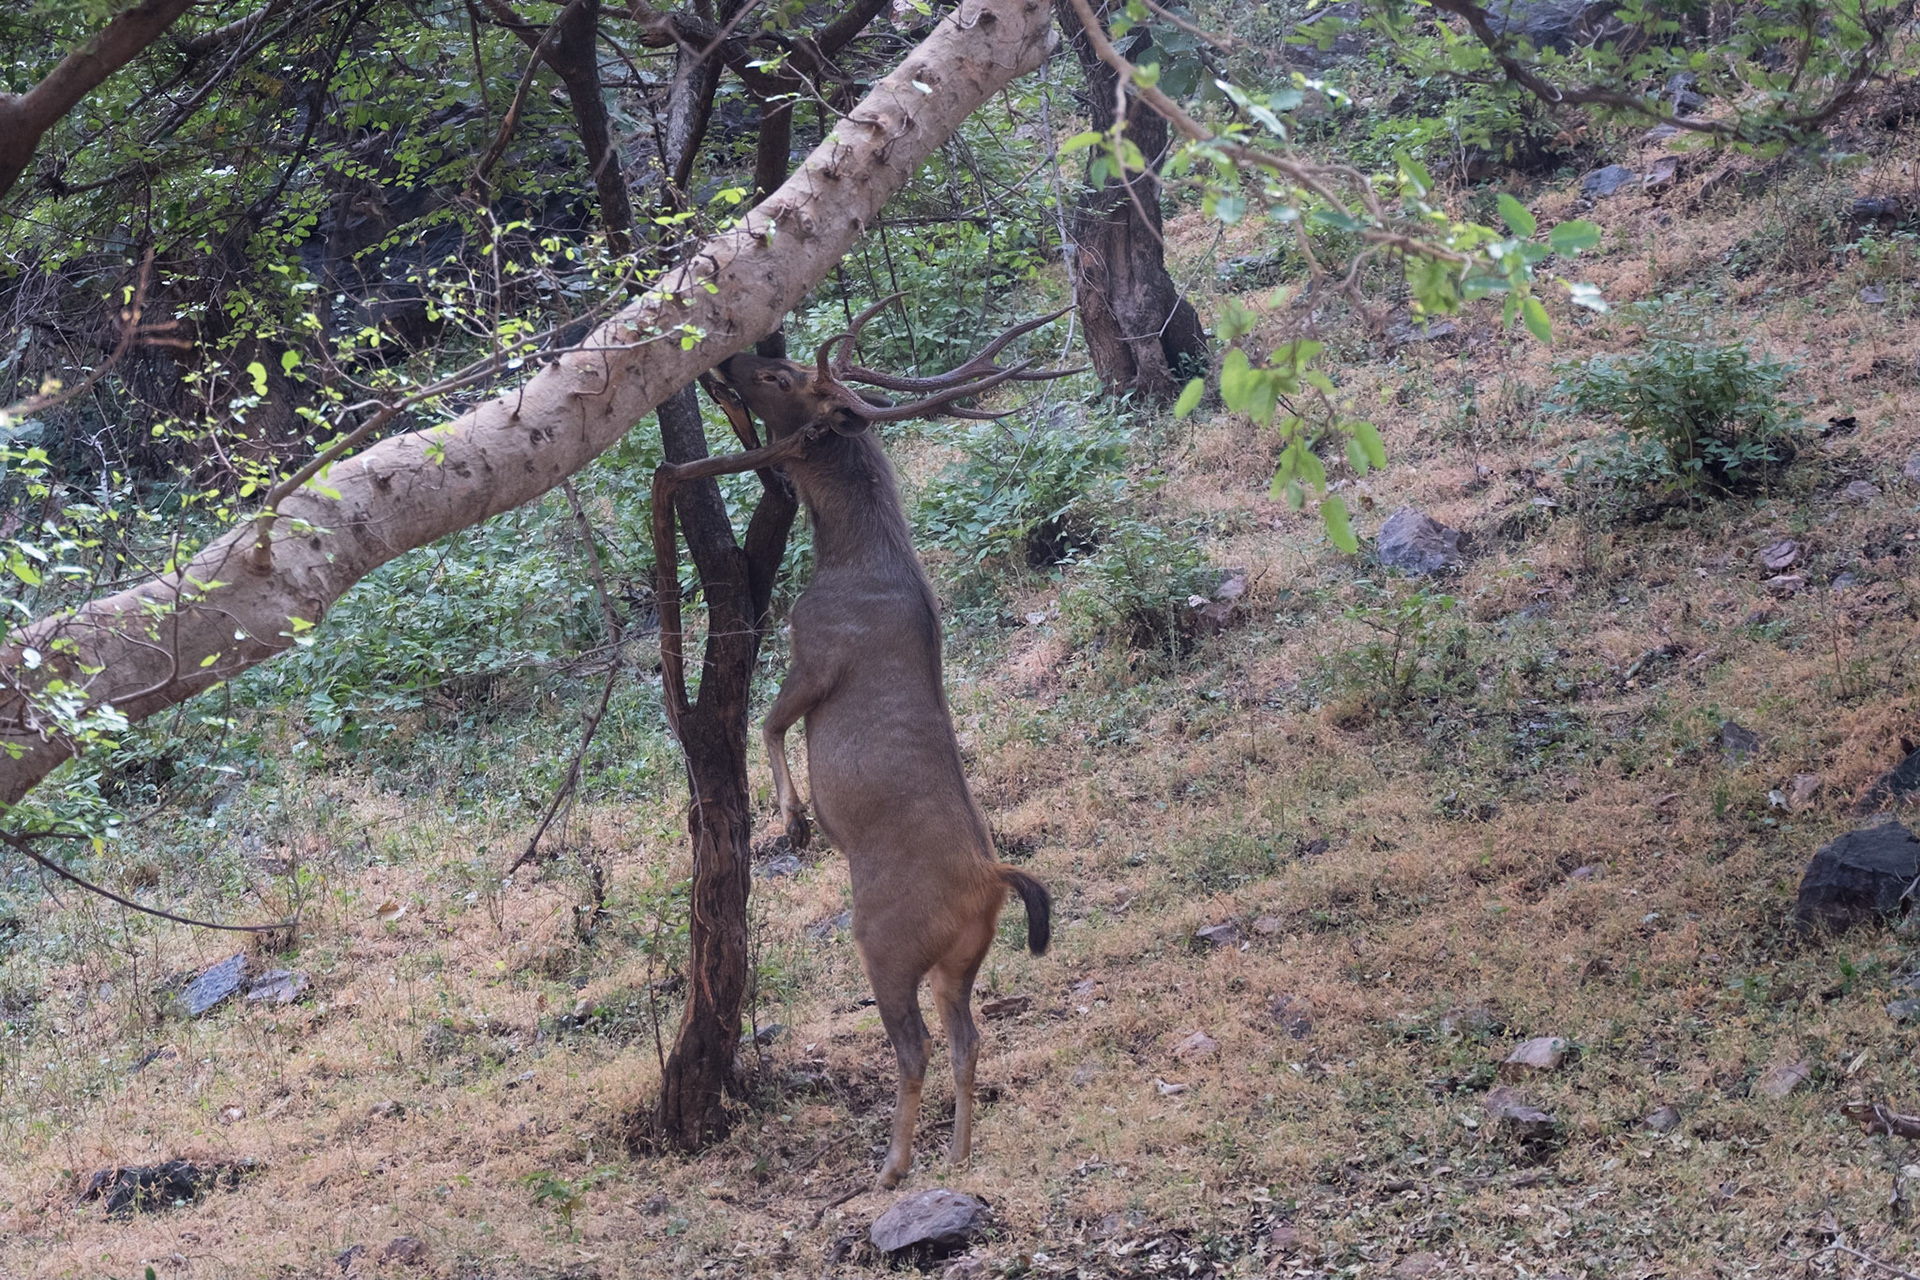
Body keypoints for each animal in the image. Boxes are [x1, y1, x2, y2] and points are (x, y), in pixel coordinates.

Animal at [650, 297, 1074, 1188]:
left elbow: (769, 725)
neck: (848, 553)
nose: (729, 362)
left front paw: (792, 816)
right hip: (961, 961)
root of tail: (993, 882)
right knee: (969, 1038)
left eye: (781, 378)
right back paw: (957, 1151)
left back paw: (893, 1164)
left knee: (914, 1049)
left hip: (886, 945)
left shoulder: (815, 653)